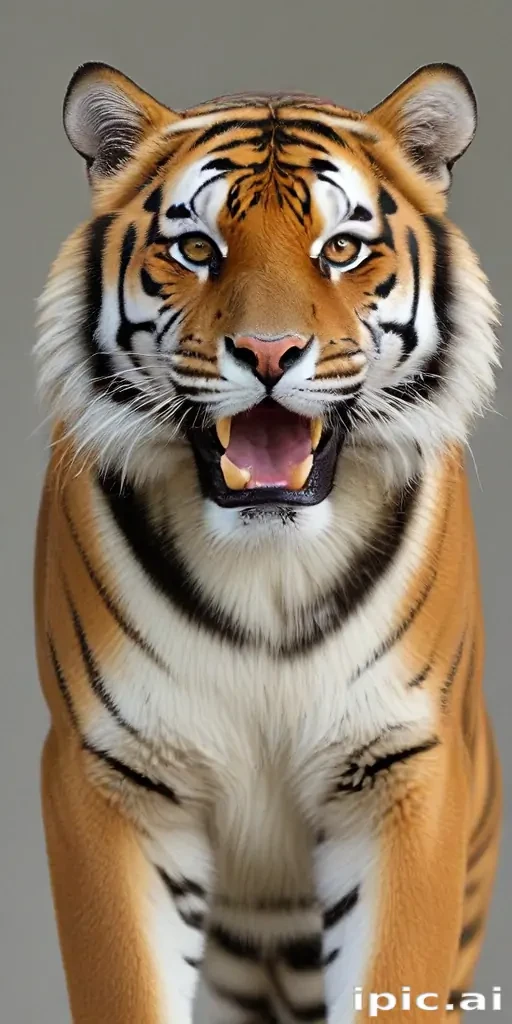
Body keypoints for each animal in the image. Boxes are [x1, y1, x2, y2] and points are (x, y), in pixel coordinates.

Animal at [34, 60, 502, 1024]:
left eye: (342, 250)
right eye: (196, 249)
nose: (270, 351)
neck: (268, 570)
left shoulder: (404, 767)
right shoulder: (109, 778)